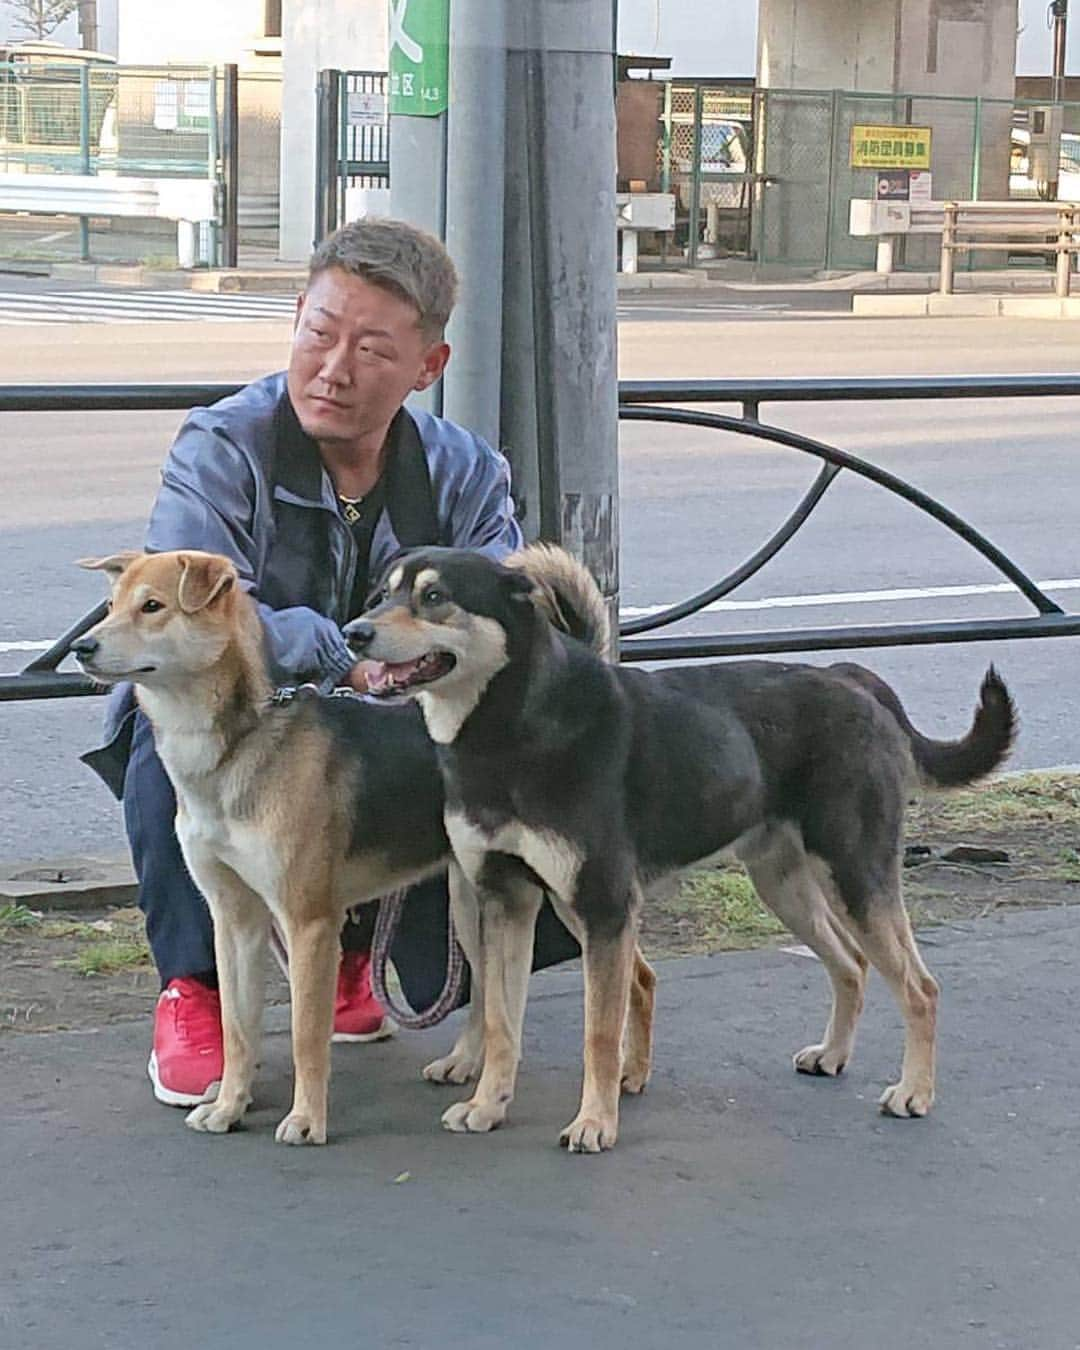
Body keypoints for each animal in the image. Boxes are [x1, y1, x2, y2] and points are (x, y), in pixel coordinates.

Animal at [348, 542, 1020, 1155]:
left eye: (435, 596)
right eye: (381, 593)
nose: (355, 633)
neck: (512, 725)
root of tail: (851, 678)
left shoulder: (603, 904)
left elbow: (598, 1032)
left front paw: (596, 1123)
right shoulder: (505, 898)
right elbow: (499, 1018)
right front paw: (488, 1105)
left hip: (854, 874)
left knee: (919, 987)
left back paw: (914, 1092)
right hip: (779, 884)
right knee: (850, 965)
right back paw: (832, 1054)